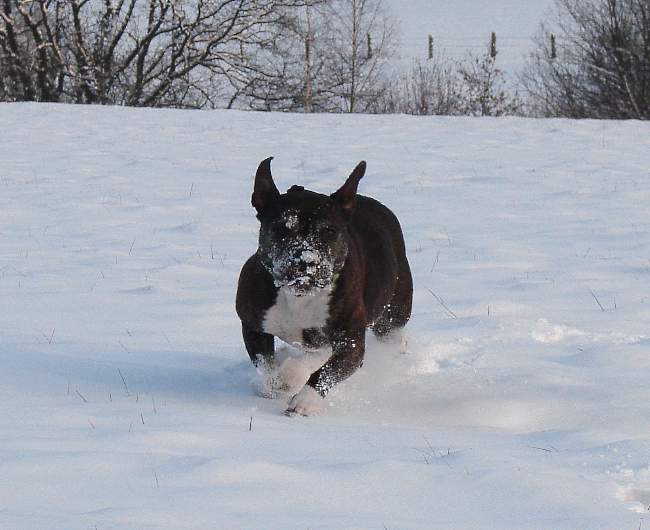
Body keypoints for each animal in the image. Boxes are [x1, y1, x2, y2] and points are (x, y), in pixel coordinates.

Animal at [235, 157, 412, 412]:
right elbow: (265, 365)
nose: (306, 260)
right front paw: (278, 382)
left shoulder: (351, 343)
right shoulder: (253, 325)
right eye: (281, 229)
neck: (299, 297)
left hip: (392, 315)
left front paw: (304, 401)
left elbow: (326, 373)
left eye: (330, 231)